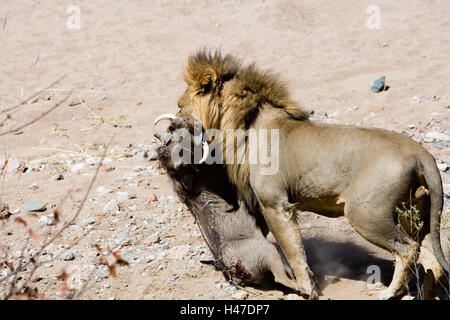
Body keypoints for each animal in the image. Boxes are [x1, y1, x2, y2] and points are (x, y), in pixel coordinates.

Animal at [160, 50, 448, 300]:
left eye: (179, 105)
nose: (171, 125)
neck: (243, 125)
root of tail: (421, 154)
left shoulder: (275, 204)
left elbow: (293, 251)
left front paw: (306, 289)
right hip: (412, 212)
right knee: (428, 255)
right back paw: (428, 291)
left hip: (366, 215)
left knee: (408, 250)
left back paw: (390, 293)